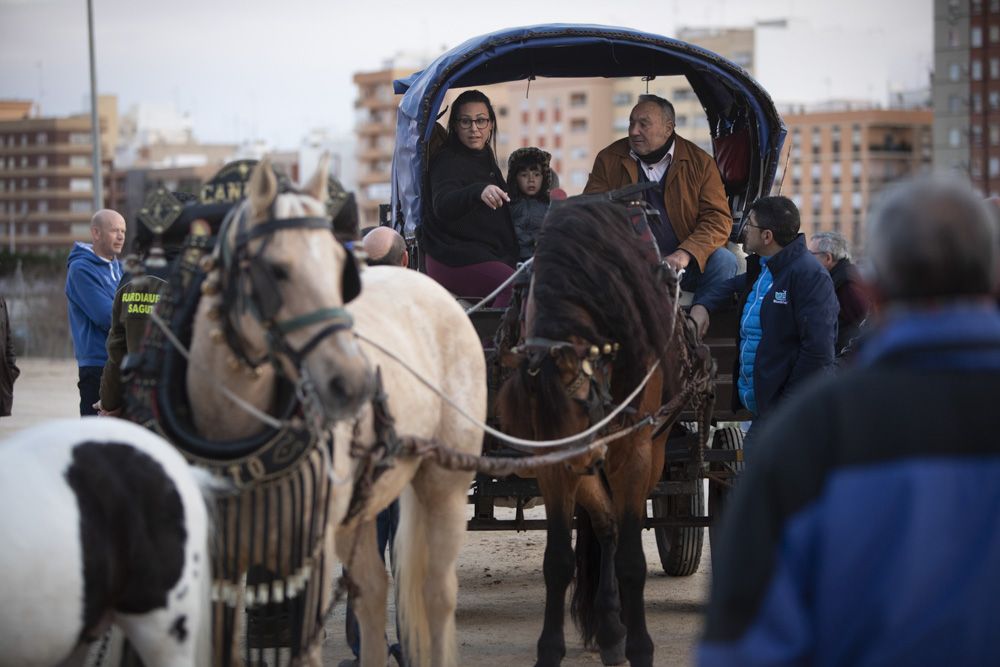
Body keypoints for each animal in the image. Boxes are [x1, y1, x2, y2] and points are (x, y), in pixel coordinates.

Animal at [186, 158, 486, 667]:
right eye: (276, 270)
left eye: (337, 267)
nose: (354, 382)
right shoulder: (219, 560)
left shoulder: (310, 551)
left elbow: (305, 647)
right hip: (360, 506)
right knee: (371, 592)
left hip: (443, 483)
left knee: (437, 594)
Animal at [496, 201, 708, 667]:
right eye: (534, 409)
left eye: (584, 401)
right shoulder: (556, 464)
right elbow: (559, 559)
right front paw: (550, 650)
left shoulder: (633, 452)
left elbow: (631, 559)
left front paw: (641, 647)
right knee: (607, 523)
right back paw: (610, 628)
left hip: (653, 450)